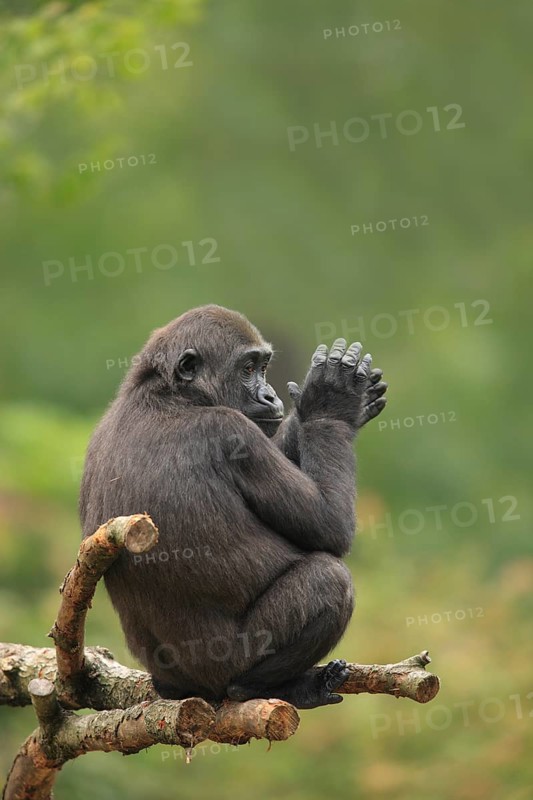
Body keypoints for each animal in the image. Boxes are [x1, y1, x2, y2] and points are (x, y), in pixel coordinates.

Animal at [79, 305, 387, 708]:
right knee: (328, 579)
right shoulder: (232, 432)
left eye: (263, 367)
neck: (169, 393)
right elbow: (330, 525)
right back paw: (260, 686)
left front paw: (310, 408)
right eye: (247, 368)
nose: (270, 396)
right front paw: (329, 405)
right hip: (230, 663)